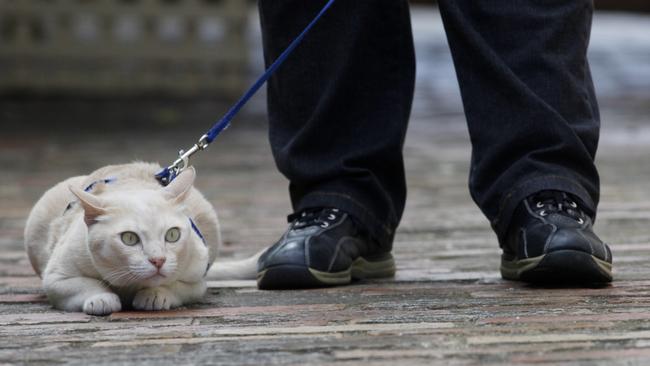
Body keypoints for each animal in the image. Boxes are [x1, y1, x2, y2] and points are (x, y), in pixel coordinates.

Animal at [24, 162, 220, 316]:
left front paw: (154, 294)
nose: (158, 260)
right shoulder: (56, 278)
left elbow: (175, 286)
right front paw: (102, 298)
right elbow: (84, 284)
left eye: (172, 235)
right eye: (129, 238)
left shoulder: (197, 281)